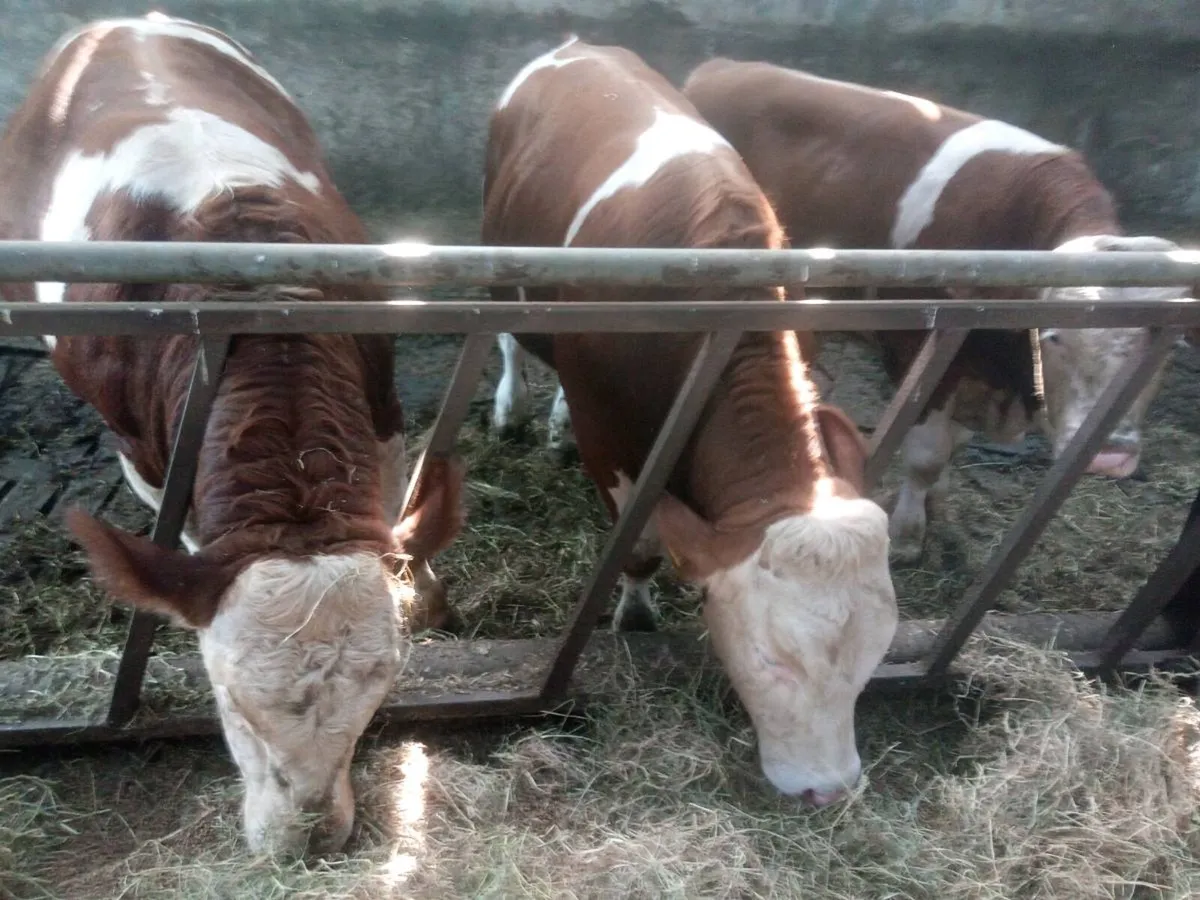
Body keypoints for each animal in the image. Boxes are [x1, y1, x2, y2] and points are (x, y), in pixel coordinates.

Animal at [0, 15, 465, 856]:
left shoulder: (379, 407)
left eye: (377, 696)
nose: (308, 839)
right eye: (225, 699)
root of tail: (123, 22)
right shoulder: (146, 452)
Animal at [480, 37, 898, 805]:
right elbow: (640, 543)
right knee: (510, 339)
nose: (831, 789)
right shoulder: (610, 437)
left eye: (879, 647)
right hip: (503, 259)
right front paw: (636, 617)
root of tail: (577, 45)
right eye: (769, 658)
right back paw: (512, 410)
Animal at [677, 58, 1193, 564]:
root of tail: (719, 66)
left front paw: (939, 500)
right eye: (1054, 337)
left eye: (1165, 348)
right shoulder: (919, 343)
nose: (1111, 454)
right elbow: (925, 452)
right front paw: (907, 533)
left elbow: (952, 447)